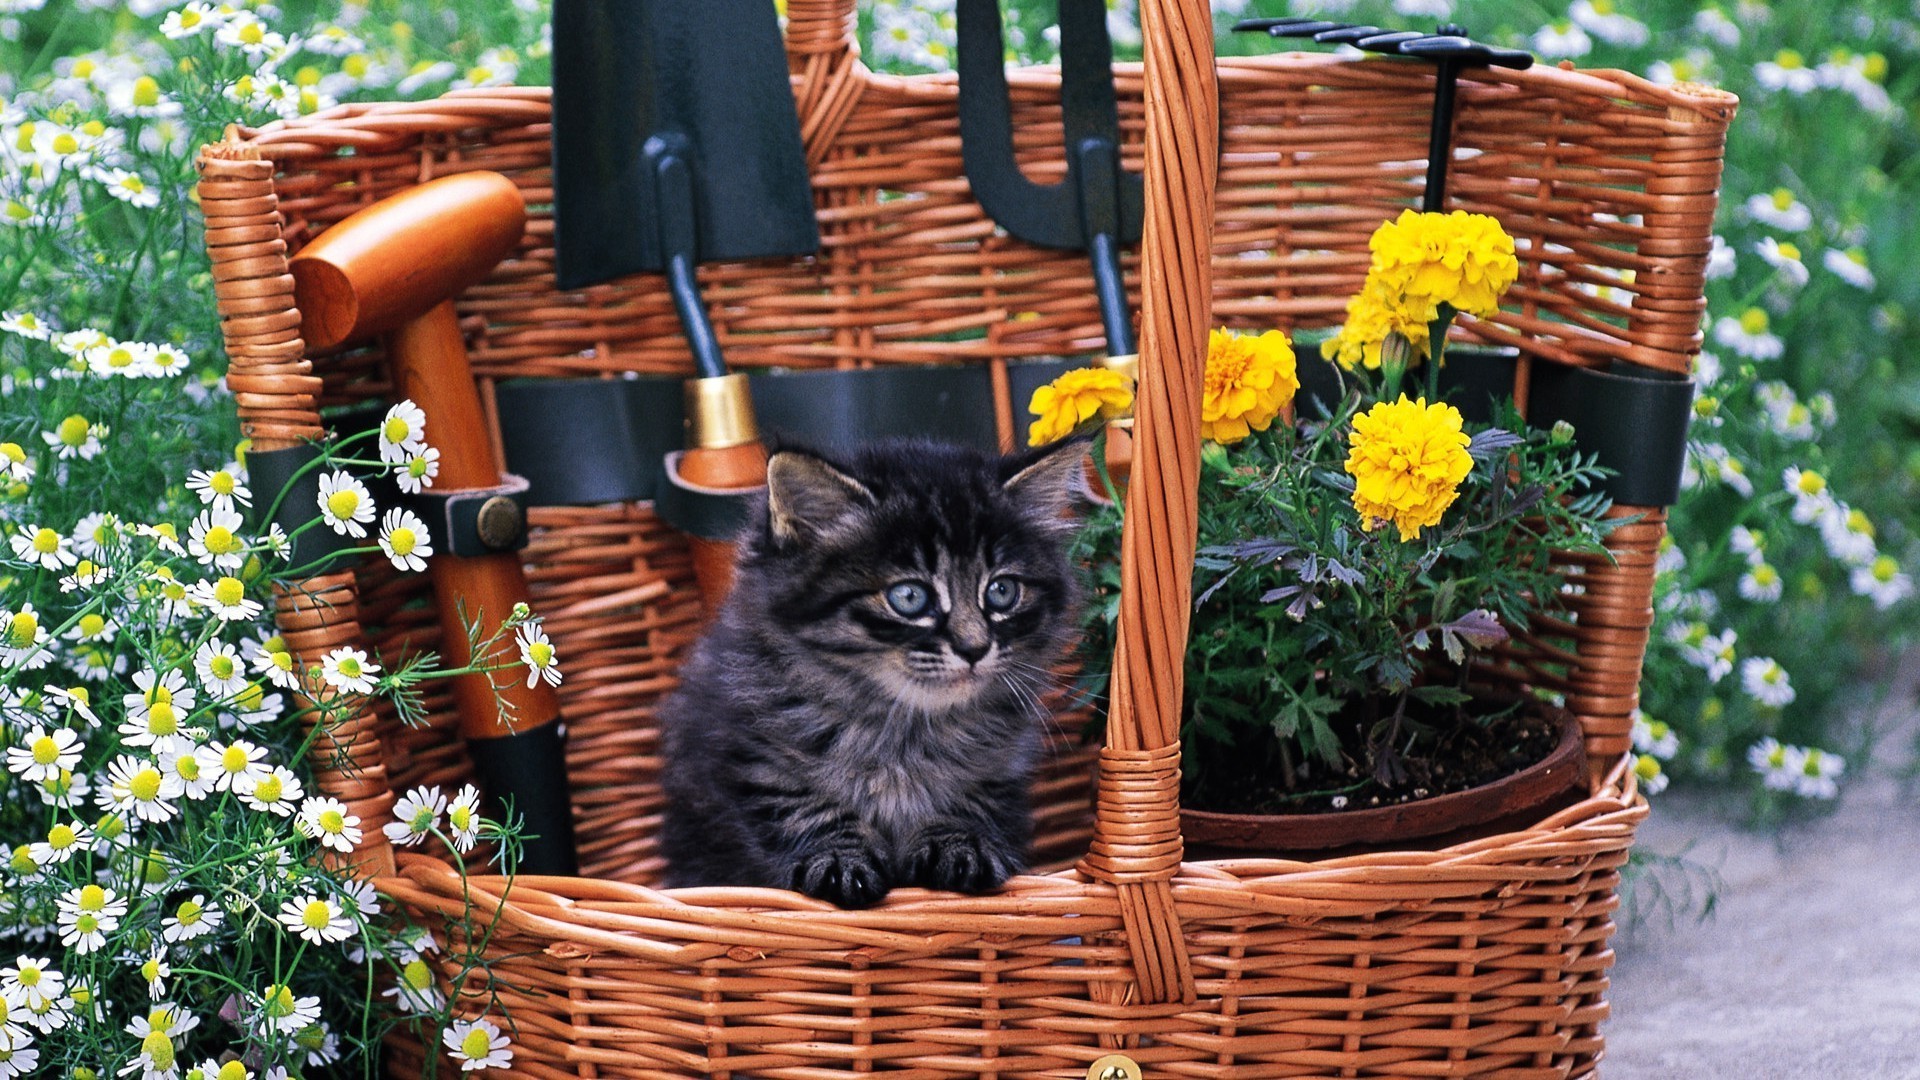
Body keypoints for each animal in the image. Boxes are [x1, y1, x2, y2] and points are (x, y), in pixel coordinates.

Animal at [656, 432, 1082, 903]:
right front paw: (838, 859)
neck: (904, 727)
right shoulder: (750, 749)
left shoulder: (1001, 765)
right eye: (909, 597)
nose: (975, 647)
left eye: (1002, 591)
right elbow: (804, 804)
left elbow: (969, 798)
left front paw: (960, 844)